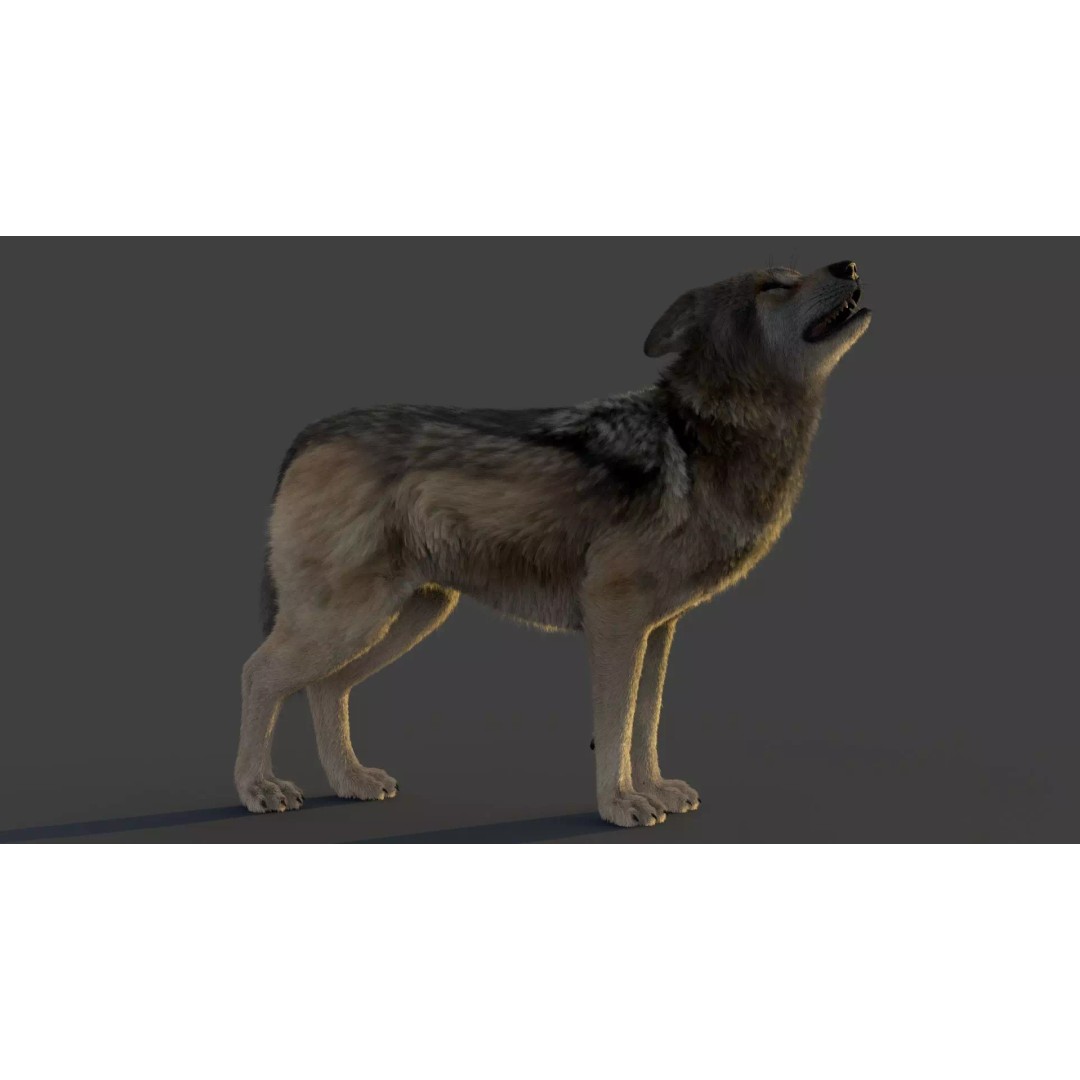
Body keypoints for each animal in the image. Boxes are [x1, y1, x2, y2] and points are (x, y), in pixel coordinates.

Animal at [235, 260, 871, 827]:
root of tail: (313, 432)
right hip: (348, 620)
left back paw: (351, 781)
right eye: (774, 285)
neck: (705, 433)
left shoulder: (657, 629)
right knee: (258, 674)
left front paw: (655, 790)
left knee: (325, 687)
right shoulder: (615, 619)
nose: (849, 263)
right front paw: (621, 805)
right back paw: (257, 788)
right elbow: (616, 726)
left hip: (406, 617)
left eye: (793, 274)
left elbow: (646, 721)